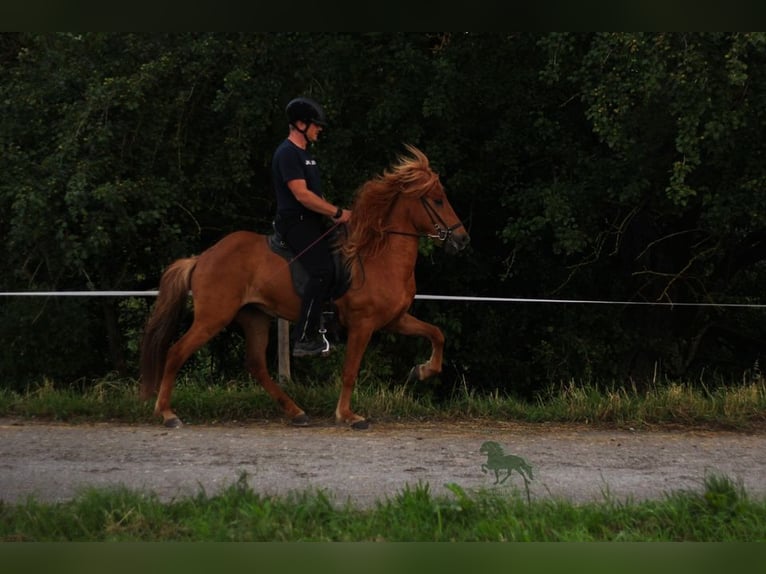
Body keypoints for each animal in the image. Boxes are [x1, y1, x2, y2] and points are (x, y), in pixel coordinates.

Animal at [141, 146, 472, 430]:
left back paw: (296, 412)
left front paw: (423, 370)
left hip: (255, 317)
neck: (379, 255)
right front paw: (348, 415)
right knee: (176, 352)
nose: (462, 239)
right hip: (214, 317)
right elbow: (350, 371)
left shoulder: (394, 320)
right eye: (438, 200)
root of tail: (202, 258)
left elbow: (437, 334)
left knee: (256, 365)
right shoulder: (363, 324)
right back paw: (167, 413)